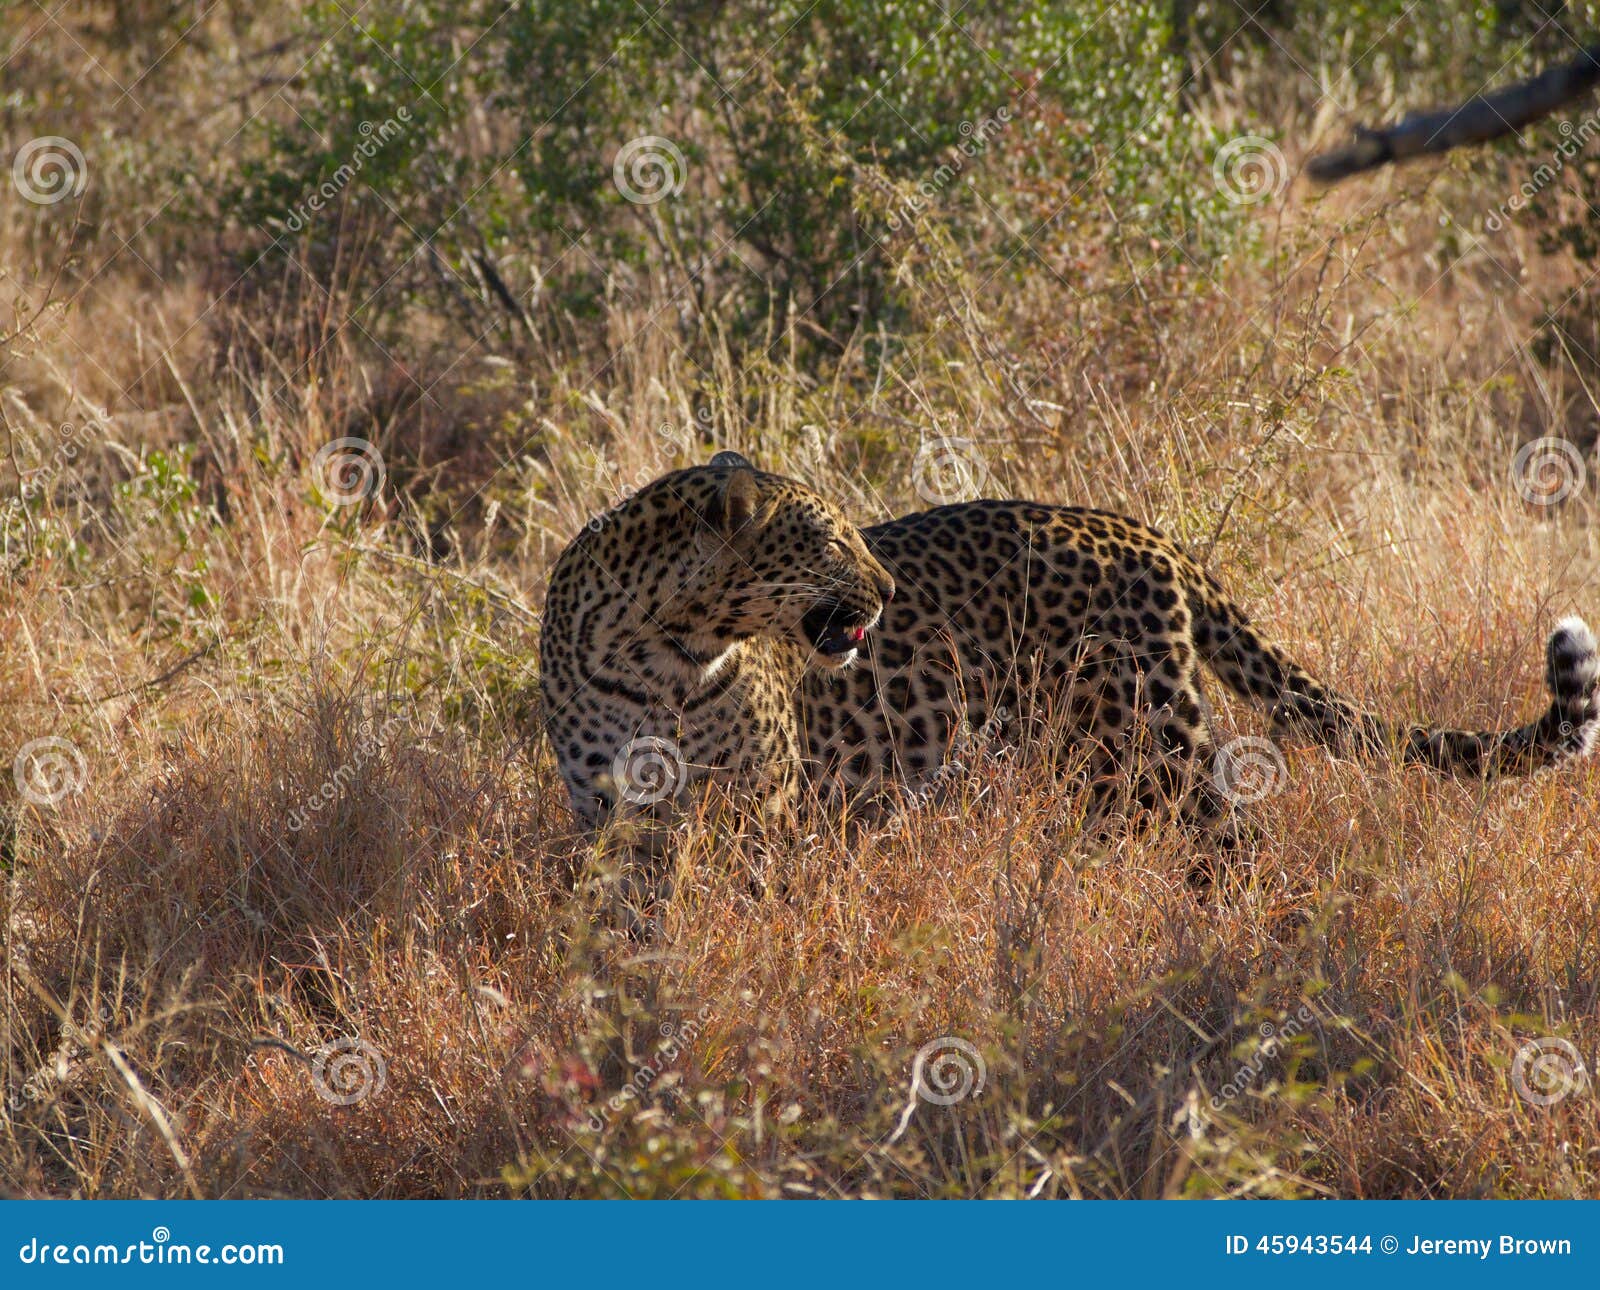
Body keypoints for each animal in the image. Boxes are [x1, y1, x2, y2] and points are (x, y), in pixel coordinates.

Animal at [540, 448, 1600, 851]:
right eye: (830, 543)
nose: (888, 593)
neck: (667, 650)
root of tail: (1143, 530)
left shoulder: (765, 800)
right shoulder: (607, 816)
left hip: (1142, 742)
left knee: (1230, 835)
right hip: (1086, 757)